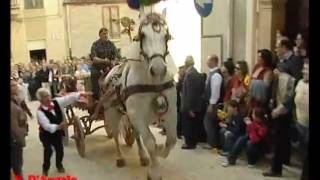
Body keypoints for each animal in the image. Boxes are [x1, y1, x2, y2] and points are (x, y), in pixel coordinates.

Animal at [100, 8, 178, 180]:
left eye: (166, 36)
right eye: (142, 35)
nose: (158, 69)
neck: (153, 83)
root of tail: (111, 70)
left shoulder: (171, 112)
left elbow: (171, 140)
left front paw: (160, 152)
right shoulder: (137, 116)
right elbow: (150, 142)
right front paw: (155, 171)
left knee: (135, 134)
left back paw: (142, 156)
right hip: (112, 112)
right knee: (115, 135)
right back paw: (120, 157)